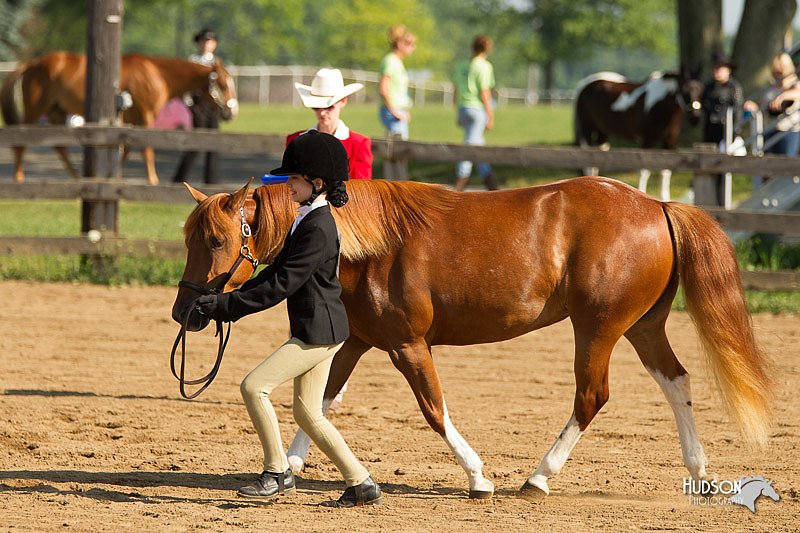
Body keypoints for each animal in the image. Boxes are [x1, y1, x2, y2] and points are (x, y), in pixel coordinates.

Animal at [0, 51, 238, 185]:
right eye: (223, 84)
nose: (231, 112)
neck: (156, 75)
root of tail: (32, 63)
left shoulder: (132, 120)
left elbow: (127, 149)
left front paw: (116, 175)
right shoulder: (145, 116)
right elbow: (146, 150)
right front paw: (152, 180)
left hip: (56, 112)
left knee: (60, 147)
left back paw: (78, 178)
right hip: (35, 109)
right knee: (21, 142)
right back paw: (19, 177)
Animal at [172, 178, 772, 498]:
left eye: (217, 239)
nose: (186, 310)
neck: (366, 246)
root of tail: (657, 205)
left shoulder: (407, 346)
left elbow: (433, 409)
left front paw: (477, 476)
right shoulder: (354, 341)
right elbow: (319, 404)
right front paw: (292, 468)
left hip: (597, 329)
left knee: (592, 397)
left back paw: (538, 478)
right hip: (642, 326)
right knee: (677, 382)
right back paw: (697, 469)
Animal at [576, 71, 700, 201]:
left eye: (700, 89)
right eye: (685, 90)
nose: (695, 118)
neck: (660, 104)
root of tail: (585, 85)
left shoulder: (670, 140)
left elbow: (665, 170)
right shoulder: (647, 139)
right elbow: (644, 170)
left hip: (602, 134)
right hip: (587, 130)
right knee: (587, 163)